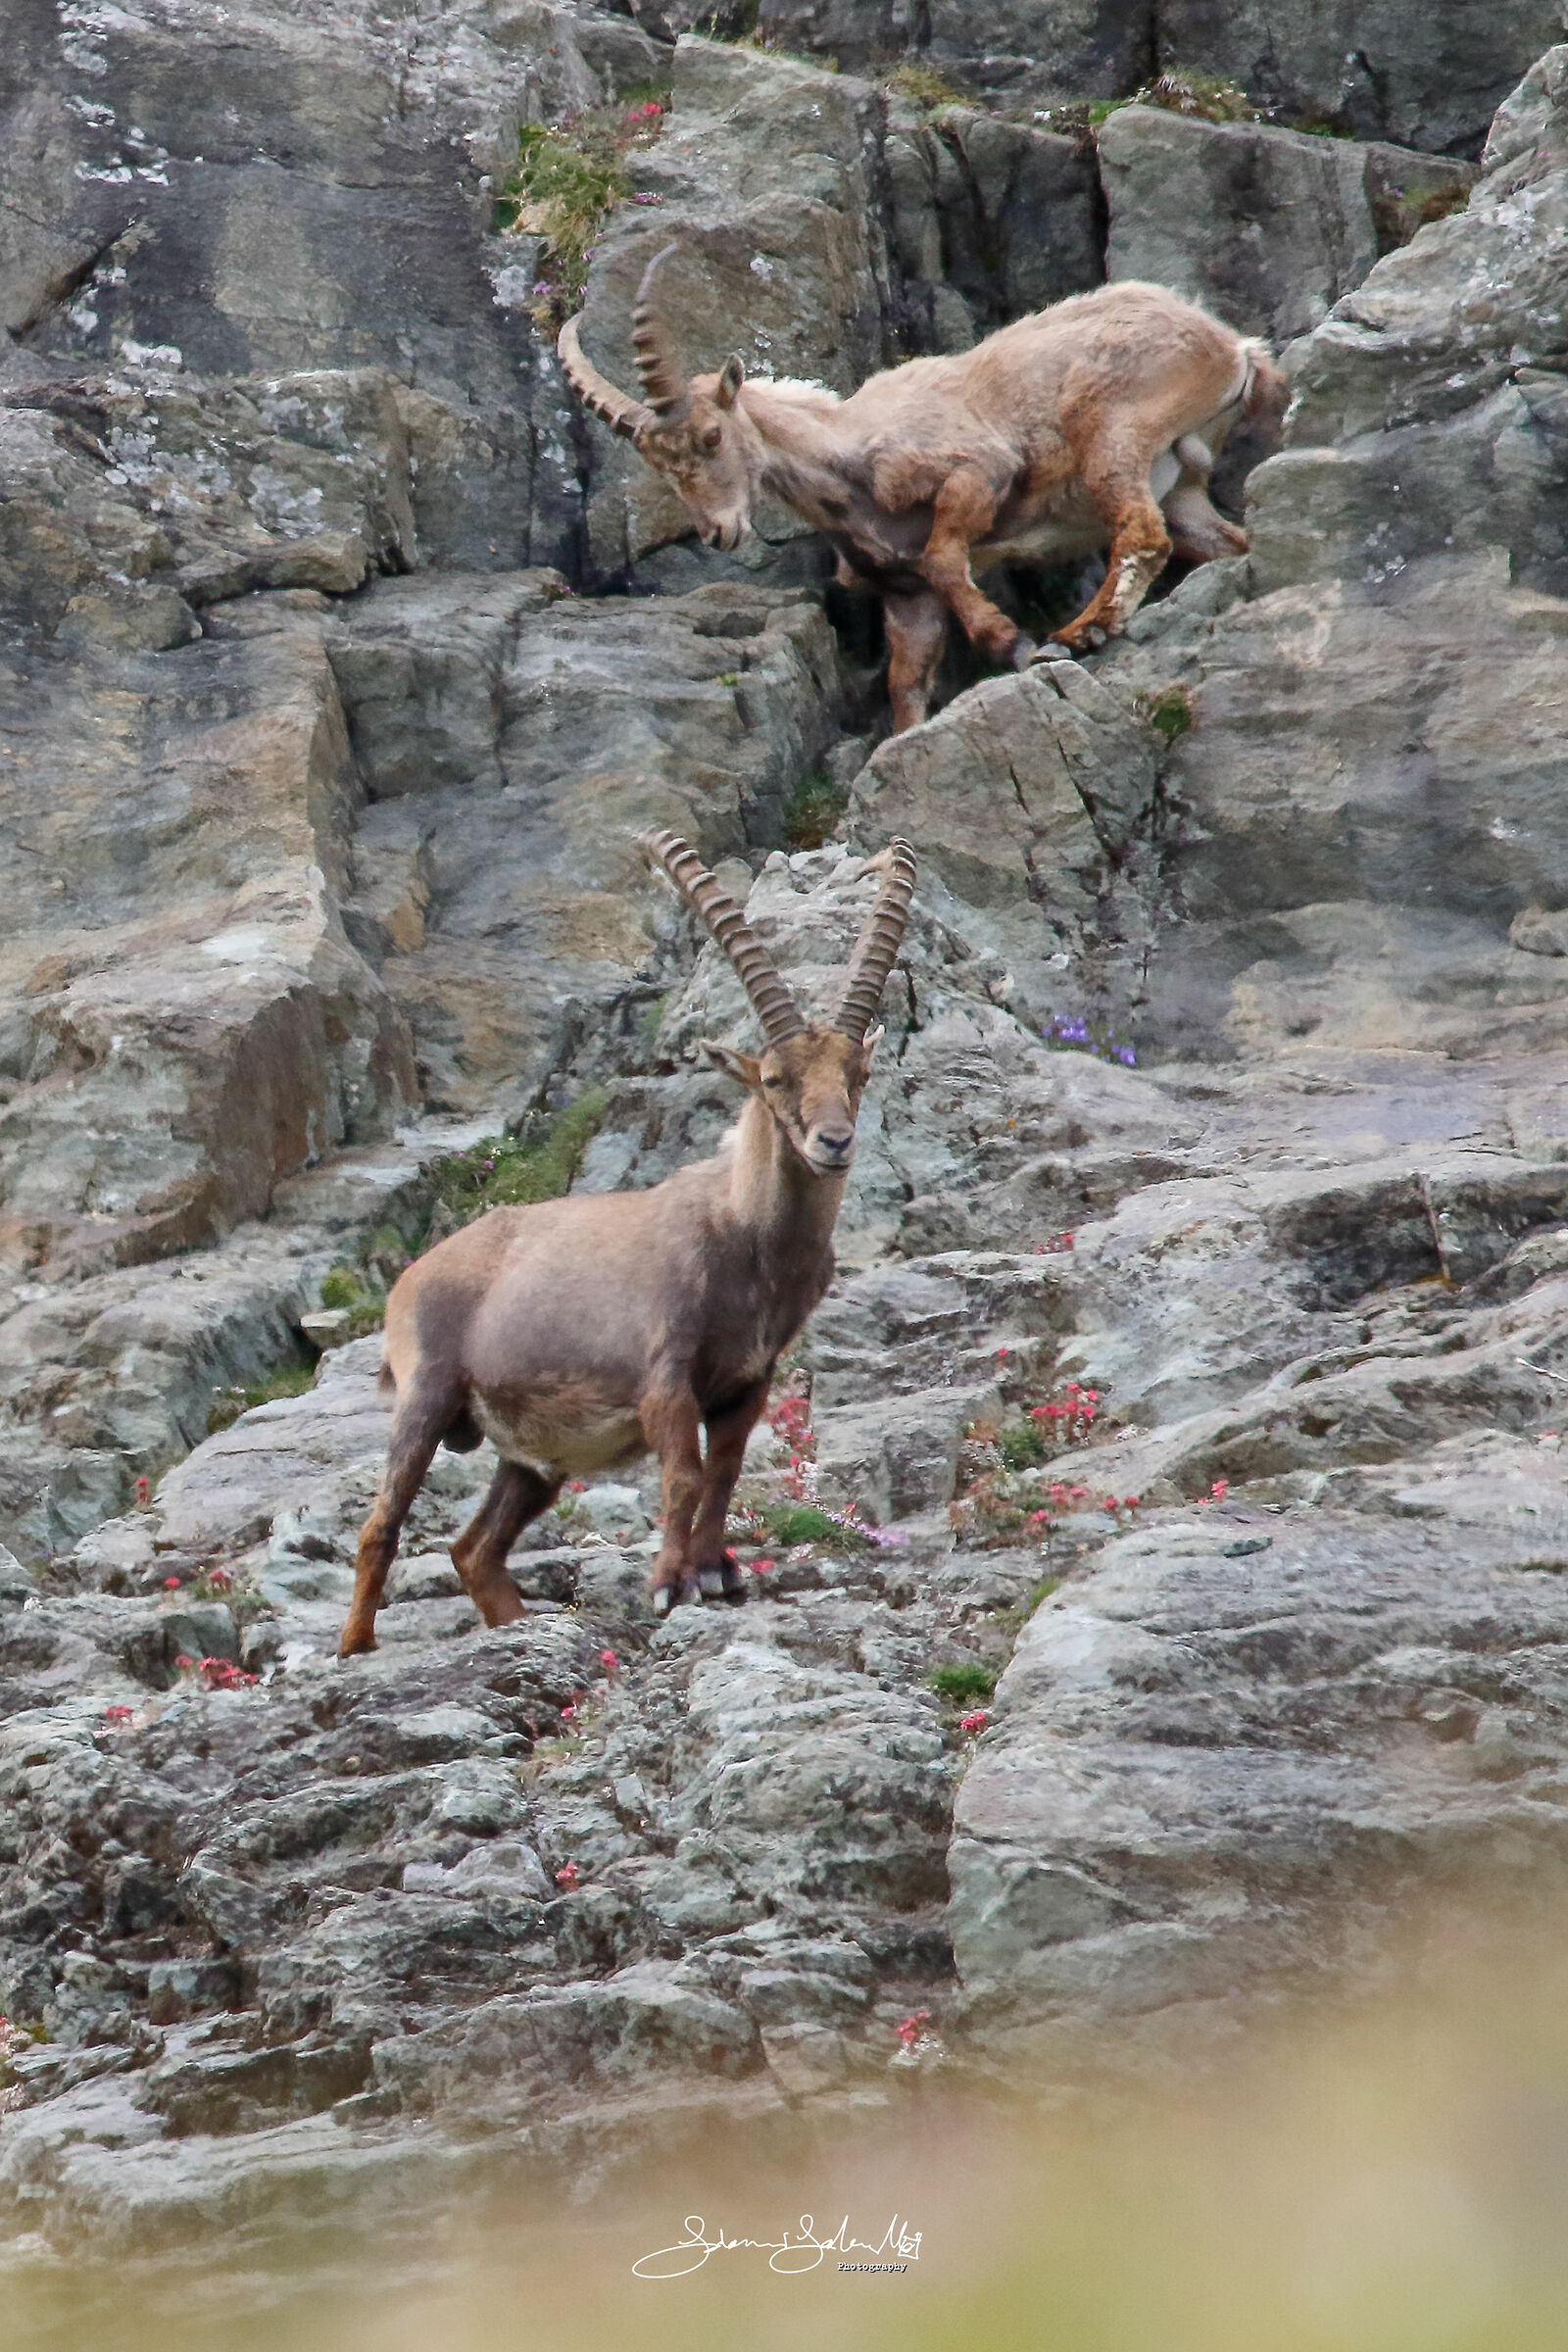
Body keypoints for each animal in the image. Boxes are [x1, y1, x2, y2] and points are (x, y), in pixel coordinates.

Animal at [338, 833, 916, 1655]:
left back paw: (518, 1625)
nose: (834, 1143)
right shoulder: (664, 1376)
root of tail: (413, 1277)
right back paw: (356, 1646)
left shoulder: (747, 1381)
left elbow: (724, 1473)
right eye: (774, 1078)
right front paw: (670, 1585)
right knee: (380, 1526)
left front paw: (716, 1573)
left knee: (474, 1548)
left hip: (532, 1457)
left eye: (859, 1074)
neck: (746, 1240)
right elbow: (683, 1474)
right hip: (427, 1392)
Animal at [559, 256, 1287, 732]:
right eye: (658, 465)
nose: (718, 532)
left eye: (711, 435)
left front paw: (1008, 641)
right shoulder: (905, 598)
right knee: (1215, 537)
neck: (846, 456)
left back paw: (1077, 633)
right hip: (1183, 483)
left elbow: (945, 556)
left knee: (1141, 533)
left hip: (1112, 431)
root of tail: (1233, 348)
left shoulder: (976, 471)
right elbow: (905, 681)